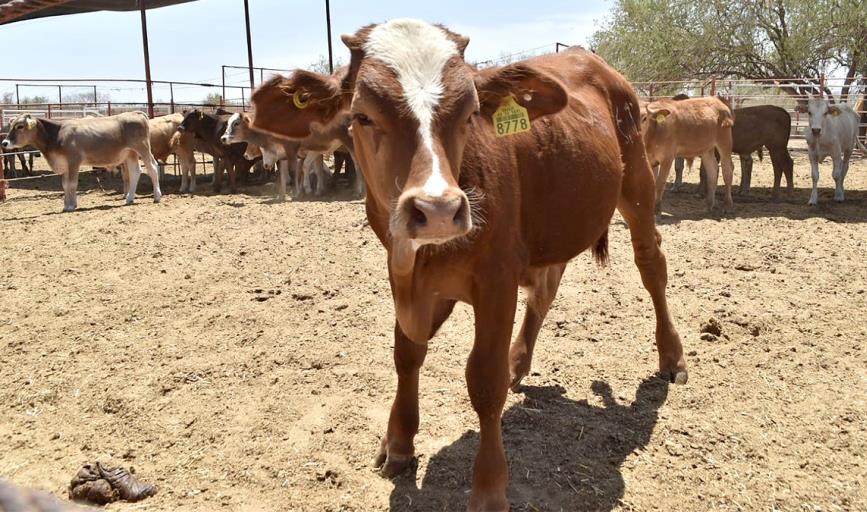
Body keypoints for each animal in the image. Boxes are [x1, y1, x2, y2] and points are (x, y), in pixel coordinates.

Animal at [1, 112, 162, 212]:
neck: (57, 135)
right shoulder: (64, 164)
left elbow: (72, 184)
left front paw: (71, 206)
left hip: (143, 149)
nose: (4, 143)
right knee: (135, 172)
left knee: (153, 168)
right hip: (130, 154)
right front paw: (67, 205)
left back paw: (157, 196)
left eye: (20, 126)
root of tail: (135, 113)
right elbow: (65, 185)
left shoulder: (73, 161)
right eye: (11, 125)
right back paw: (129, 198)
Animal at [253, 18, 692, 510]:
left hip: (637, 183)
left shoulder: (496, 280)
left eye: (470, 114)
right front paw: (398, 441)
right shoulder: (406, 275)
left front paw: (488, 489)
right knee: (546, 288)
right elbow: (407, 355)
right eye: (361, 116)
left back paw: (671, 355)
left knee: (651, 263)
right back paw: (520, 360)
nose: (438, 209)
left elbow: (484, 380)